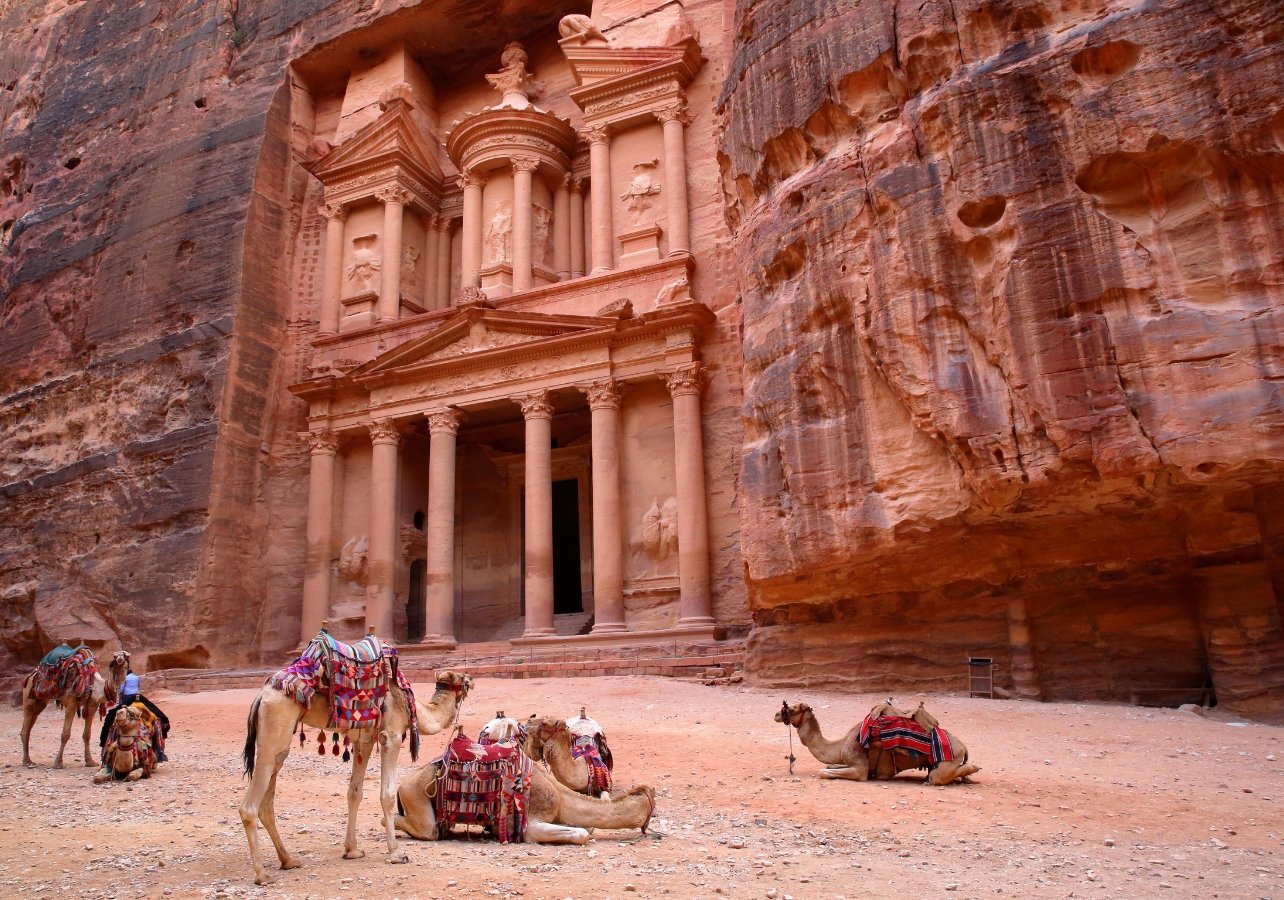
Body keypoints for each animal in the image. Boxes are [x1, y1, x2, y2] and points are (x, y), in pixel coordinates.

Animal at [238, 639, 475, 883]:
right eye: (463, 678)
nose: (471, 679)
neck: (412, 705)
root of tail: (261, 696)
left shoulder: (365, 741)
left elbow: (355, 793)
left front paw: (352, 850)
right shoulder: (391, 735)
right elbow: (387, 794)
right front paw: (396, 853)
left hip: (280, 743)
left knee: (267, 801)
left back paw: (288, 861)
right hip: (275, 725)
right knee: (250, 805)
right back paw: (262, 874)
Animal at [392, 713, 657, 842]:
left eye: (547, 723)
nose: (527, 722)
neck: (560, 797)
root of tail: (401, 785)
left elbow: (587, 828)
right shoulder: (530, 824)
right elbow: (582, 834)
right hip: (414, 793)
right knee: (415, 825)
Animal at [770, 698, 980, 780]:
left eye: (792, 708)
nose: (776, 715)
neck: (840, 745)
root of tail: (962, 745)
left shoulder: (860, 768)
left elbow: (824, 772)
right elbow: (830, 766)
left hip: (948, 759)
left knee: (937, 777)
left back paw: (973, 768)